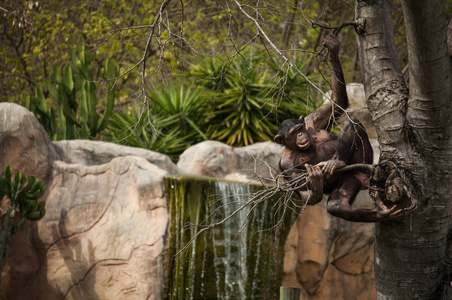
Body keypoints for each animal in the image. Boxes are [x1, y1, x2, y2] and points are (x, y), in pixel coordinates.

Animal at [274, 35, 400, 223]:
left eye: (299, 128)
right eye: (292, 134)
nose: (301, 134)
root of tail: (363, 178)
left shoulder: (313, 121)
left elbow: (337, 101)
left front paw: (332, 50)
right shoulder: (284, 165)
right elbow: (304, 193)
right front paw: (316, 185)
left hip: (361, 163)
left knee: (351, 123)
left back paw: (337, 161)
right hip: (351, 180)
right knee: (336, 205)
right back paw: (381, 212)